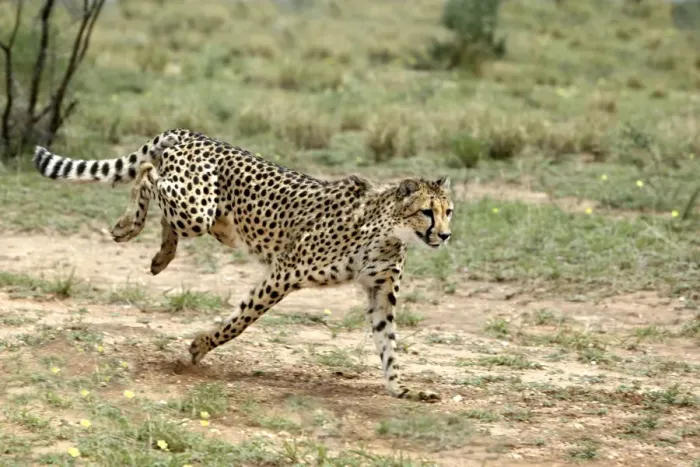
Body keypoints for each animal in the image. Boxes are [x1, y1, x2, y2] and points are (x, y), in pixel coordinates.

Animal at [32, 128, 454, 402]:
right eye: (426, 212)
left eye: (448, 211)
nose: (446, 235)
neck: (388, 232)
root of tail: (194, 134)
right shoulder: (284, 271)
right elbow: (242, 320)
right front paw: (201, 345)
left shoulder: (380, 292)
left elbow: (388, 344)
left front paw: (402, 389)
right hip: (197, 209)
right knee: (149, 174)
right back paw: (128, 225)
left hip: (206, 219)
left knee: (161, 200)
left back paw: (162, 254)